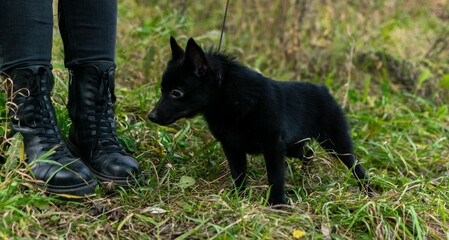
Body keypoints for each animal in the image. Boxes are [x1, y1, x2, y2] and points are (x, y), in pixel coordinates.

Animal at [148, 36, 372, 204]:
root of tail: (324, 90)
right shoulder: (232, 147)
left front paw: (277, 204)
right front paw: (237, 198)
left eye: (176, 93)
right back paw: (305, 178)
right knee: (309, 153)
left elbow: (275, 177)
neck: (227, 96)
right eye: (162, 89)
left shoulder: (272, 145)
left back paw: (368, 194)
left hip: (336, 144)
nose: (151, 116)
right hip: (293, 146)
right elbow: (238, 174)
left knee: (356, 167)